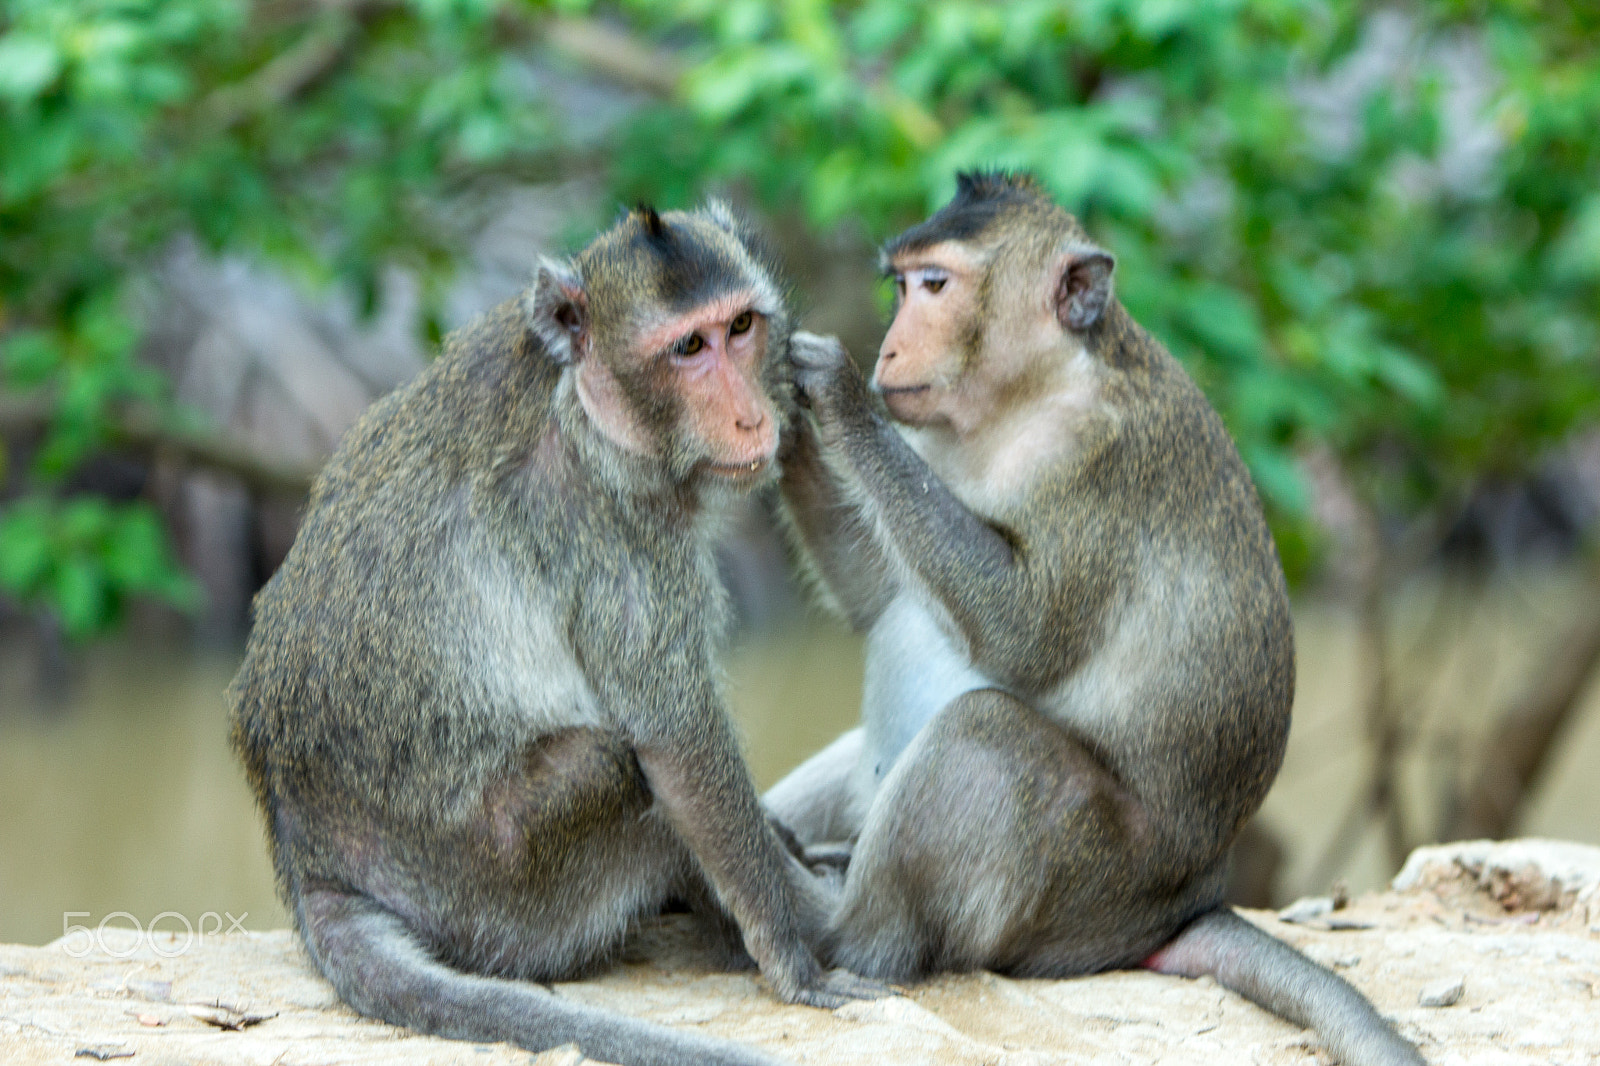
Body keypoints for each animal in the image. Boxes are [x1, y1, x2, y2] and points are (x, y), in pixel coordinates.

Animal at [228, 201, 882, 1066]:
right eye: (688, 349)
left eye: (740, 327)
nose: (752, 416)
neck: (584, 401)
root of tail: (314, 864)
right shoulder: (612, 531)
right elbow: (677, 745)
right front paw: (792, 953)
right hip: (506, 889)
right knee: (616, 766)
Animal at [764, 171, 1424, 1066]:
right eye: (898, 286)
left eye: (934, 285)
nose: (888, 351)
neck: (1028, 394)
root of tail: (1182, 907)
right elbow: (880, 597)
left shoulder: (1093, 460)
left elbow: (1024, 636)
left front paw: (836, 398)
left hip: (1087, 879)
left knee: (985, 736)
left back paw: (828, 919)